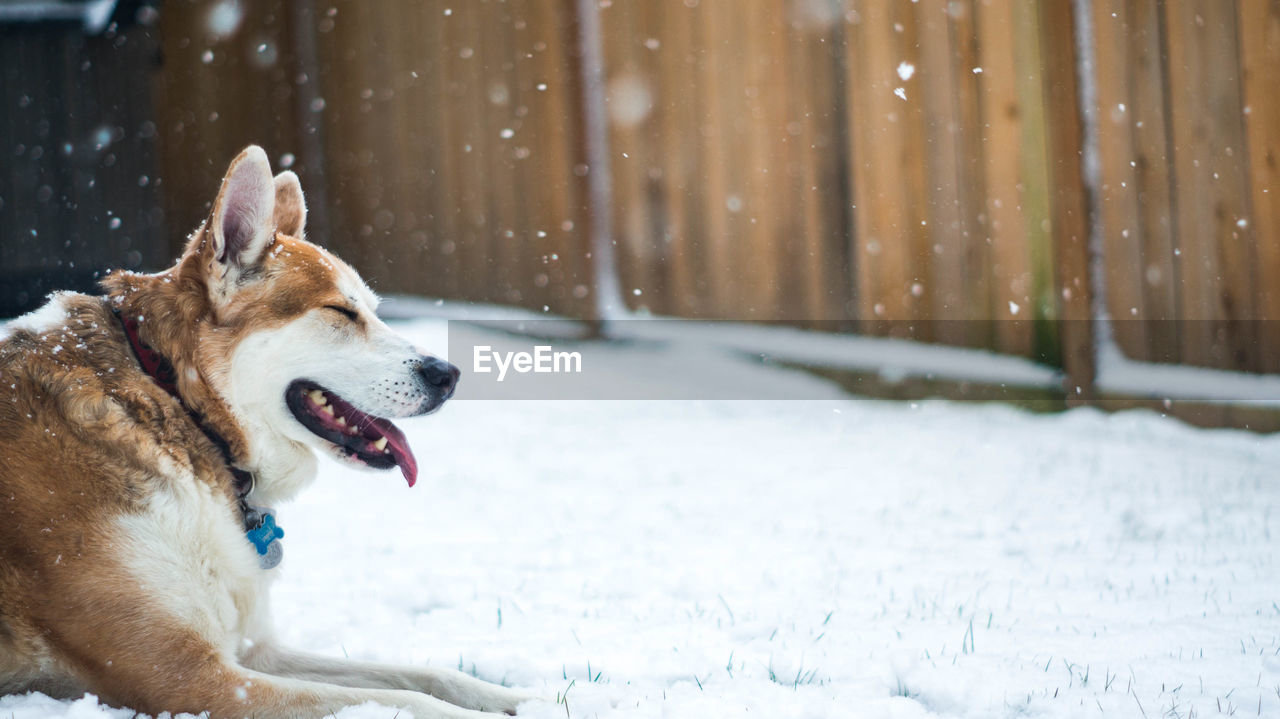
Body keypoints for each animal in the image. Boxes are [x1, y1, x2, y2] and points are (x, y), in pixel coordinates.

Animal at [0, 147, 529, 716]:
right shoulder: (186, 677)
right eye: (340, 311)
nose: (448, 375)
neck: (176, 404)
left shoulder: (255, 651)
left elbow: (420, 675)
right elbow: (406, 700)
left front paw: (515, 696)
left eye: (373, 310)